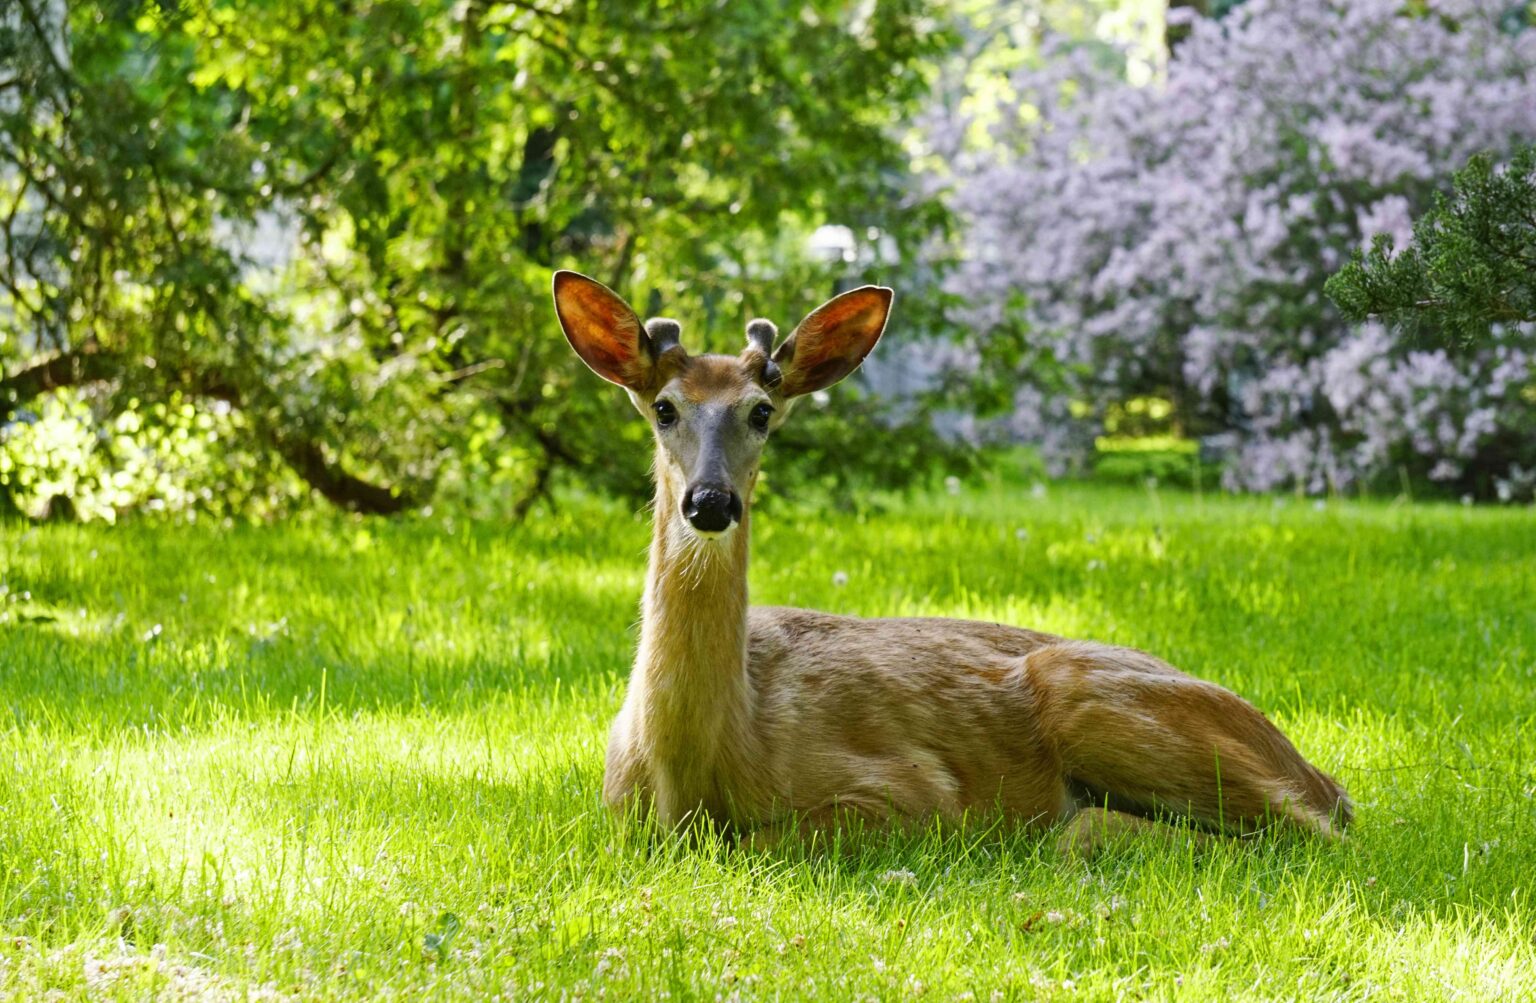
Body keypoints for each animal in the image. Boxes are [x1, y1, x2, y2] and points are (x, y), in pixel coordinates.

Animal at [552, 267, 1345, 854]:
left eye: (761, 412)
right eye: (664, 407)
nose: (711, 501)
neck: (696, 769)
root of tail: (1312, 769)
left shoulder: (910, 794)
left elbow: (766, 839)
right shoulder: (616, 810)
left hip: (1089, 695)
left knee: (1301, 829)